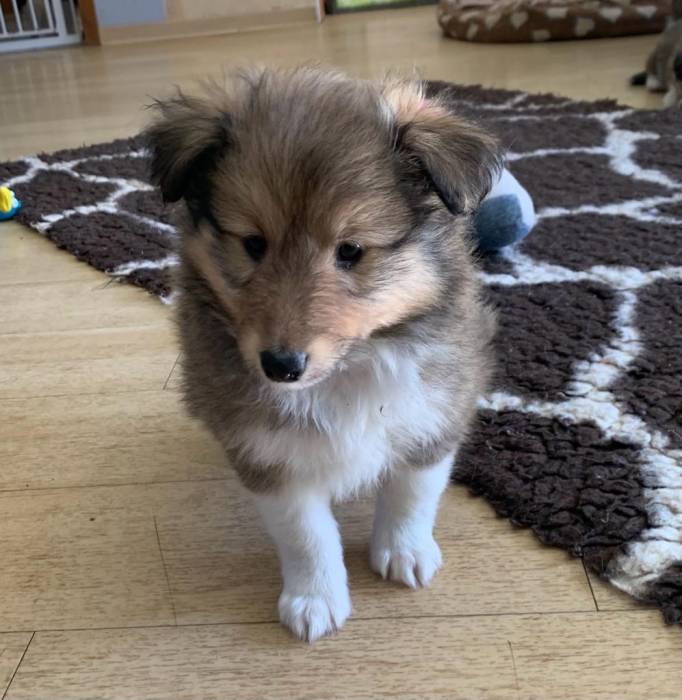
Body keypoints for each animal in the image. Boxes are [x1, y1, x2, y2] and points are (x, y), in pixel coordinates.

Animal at [145, 66, 501, 641]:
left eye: (350, 250)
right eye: (253, 244)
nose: (281, 367)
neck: (349, 369)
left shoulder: (434, 412)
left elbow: (412, 494)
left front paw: (404, 552)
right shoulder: (267, 452)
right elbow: (305, 533)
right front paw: (314, 600)